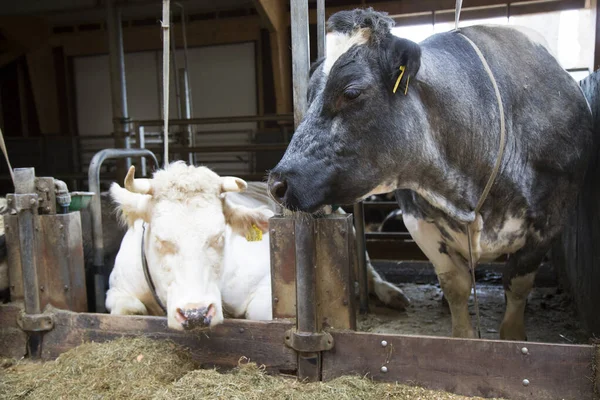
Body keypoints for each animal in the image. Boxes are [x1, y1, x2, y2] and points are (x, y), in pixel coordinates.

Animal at [106, 161, 408, 330]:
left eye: (220, 236)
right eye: (160, 239)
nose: (196, 314)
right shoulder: (117, 290)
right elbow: (128, 309)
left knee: (367, 268)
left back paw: (392, 294)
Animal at [268, 8, 596, 340]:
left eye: (351, 92)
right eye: (309, 96)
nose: (277, 183)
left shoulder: (551, 221)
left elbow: (517, 285)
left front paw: (513, 336)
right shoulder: (418, 220)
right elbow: (455, 284)